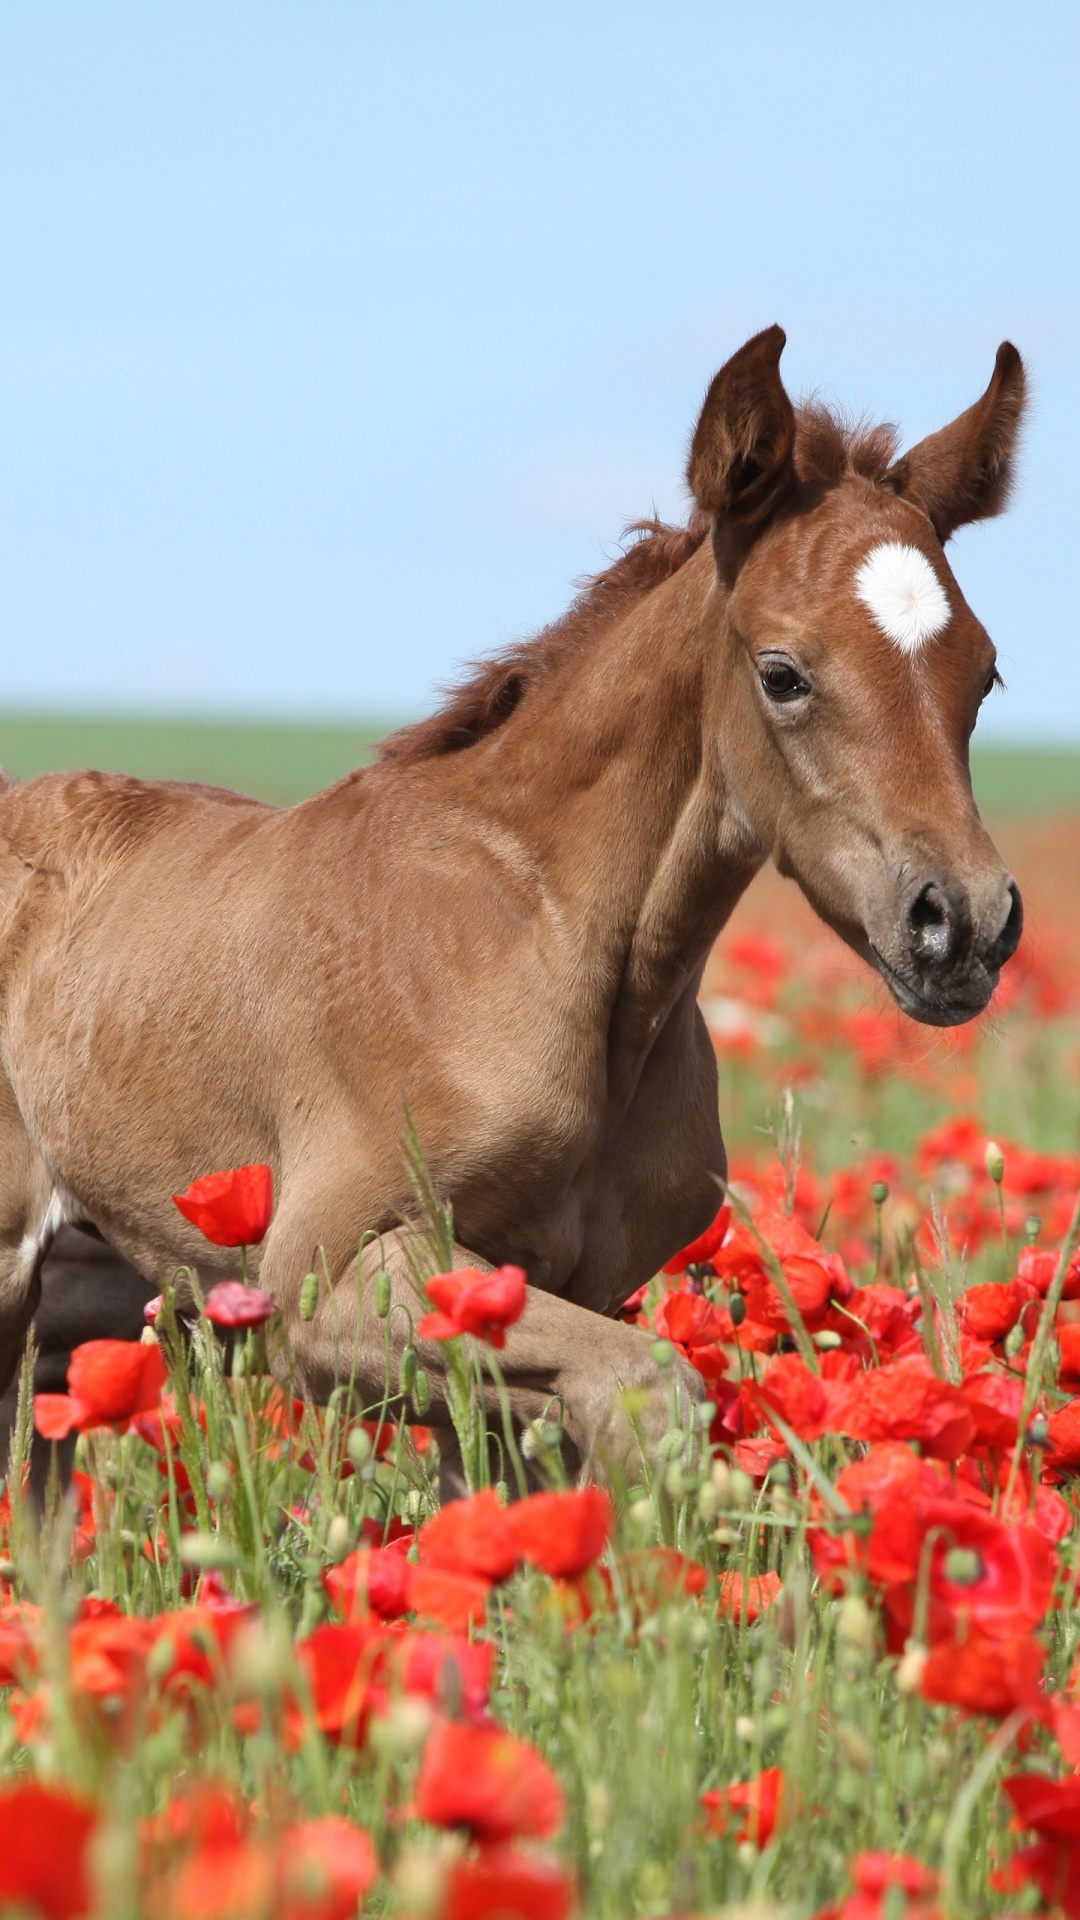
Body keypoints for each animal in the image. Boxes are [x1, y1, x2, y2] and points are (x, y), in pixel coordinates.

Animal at [0, 325, 1026, 1477]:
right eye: (783, 672)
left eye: (984, 673)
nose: (963, 925)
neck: (541, 940)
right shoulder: (326, 1281)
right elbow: (648, 1392)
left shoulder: (552, 1299)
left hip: (86, 1301)